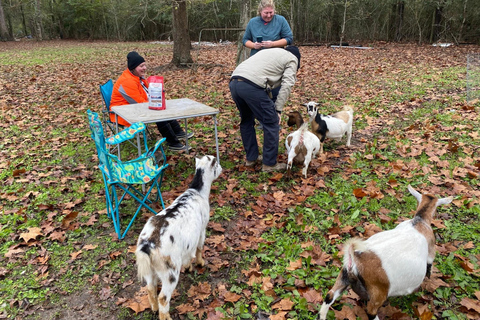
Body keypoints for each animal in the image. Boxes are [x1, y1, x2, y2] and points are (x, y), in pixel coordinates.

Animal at [135, 154, 223, 318]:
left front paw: (188, 267)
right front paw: (200, 263)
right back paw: (166, 316)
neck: (198, 192)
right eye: (216, 164)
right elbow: (199, 248)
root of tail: (147, 245)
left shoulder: (188, 241)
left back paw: (154, 308)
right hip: (170, 270)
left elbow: (188, 254)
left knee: (150, 287)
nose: (221, 168)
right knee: (164, 297)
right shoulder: (202, 230)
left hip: (150, 269)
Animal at [320, 185, 452, 320]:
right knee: (371, 311)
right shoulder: (431, 249)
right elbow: (430, 263)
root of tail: (355, 258)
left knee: (329, 296)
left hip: (344, 276)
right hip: (379, 291)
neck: (419, 222)